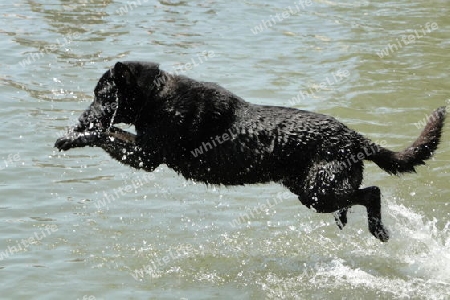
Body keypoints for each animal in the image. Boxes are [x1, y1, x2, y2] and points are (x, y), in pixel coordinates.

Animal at [54, 61, 444, 241]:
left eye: (101, 95)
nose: (81, 116)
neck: (157, 98)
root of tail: (357, 137)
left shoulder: (146, 157)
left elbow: (107, 132)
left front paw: (74, 136)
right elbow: (111, 132)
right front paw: (74, 132)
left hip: (316, 192)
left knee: (373, 192)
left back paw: (376, 228)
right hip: (312, 189)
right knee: (356, 195)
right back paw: (346, 218)